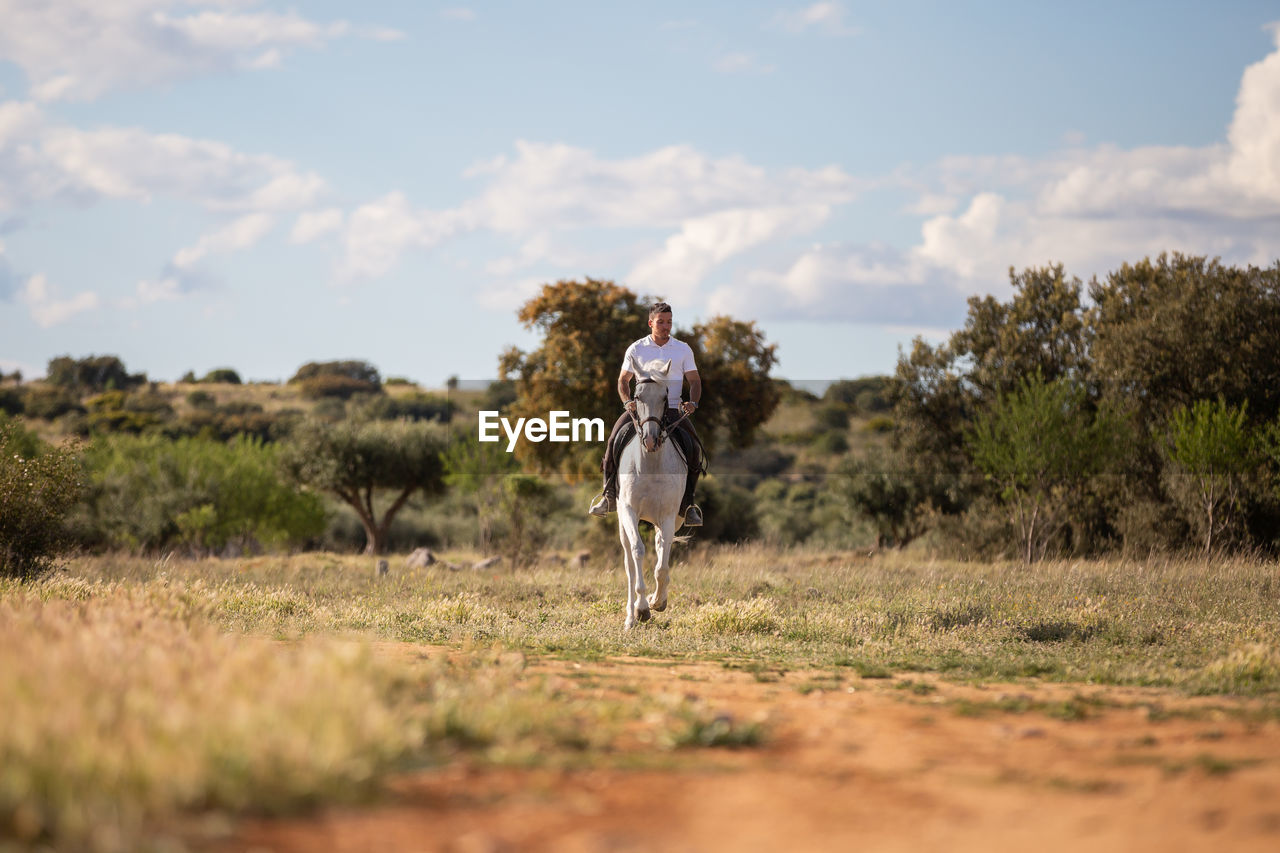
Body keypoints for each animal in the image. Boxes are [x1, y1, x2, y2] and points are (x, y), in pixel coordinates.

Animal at [616, 356, 696, 627]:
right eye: (637, 396)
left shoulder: (669, 516)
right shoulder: (629, 511)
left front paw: (656, 602)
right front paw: (641, 609)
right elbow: (638, 552)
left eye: (665, 396)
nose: (651, 441)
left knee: (661, 547)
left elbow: (662, 565)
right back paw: (630, 617)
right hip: (621, 518)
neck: (650, 463)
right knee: (629, 562)